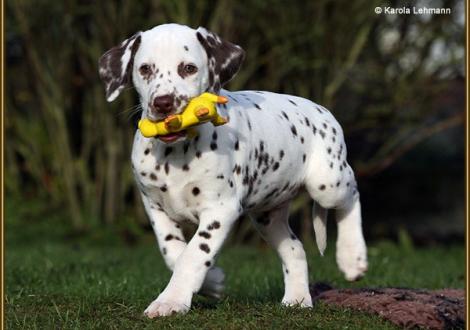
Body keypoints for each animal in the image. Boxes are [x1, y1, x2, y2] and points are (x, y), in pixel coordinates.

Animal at [97, 22, 368, 318]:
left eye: (188, 68)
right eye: (145, 68)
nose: (163, 103)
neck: (176, 152)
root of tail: (321, 109)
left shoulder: (220, 209)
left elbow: (193, 253)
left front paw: (170, 301)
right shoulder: (155, 206)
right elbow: (173, 250)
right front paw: (212, 281)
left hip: (328, 183)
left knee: (352, 194)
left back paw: (352, 257)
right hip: (268, 216)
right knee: (295, 249)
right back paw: (297, 299)